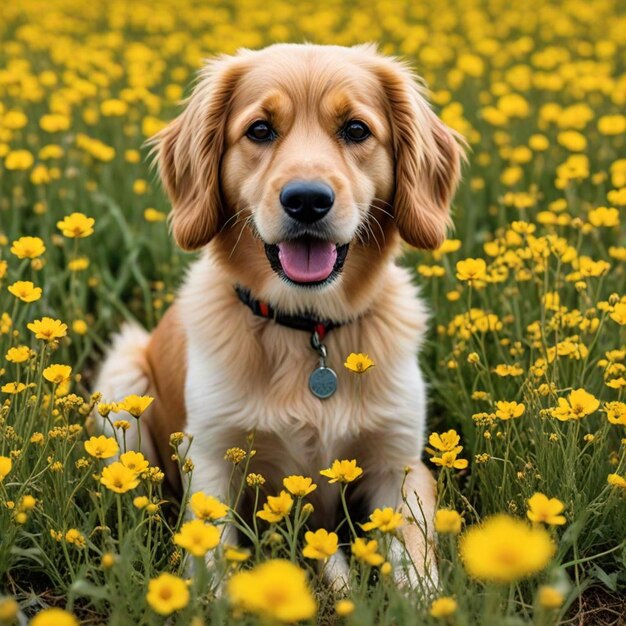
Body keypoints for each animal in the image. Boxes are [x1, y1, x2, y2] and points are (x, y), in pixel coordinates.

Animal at [94, 42, 464, 584]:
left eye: (357, 129)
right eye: (260, 130)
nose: (307, 200)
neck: (308, 329)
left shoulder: (401, 462)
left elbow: (415, 565)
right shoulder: (210, 461)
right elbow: (213, 565)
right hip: (122, 377)